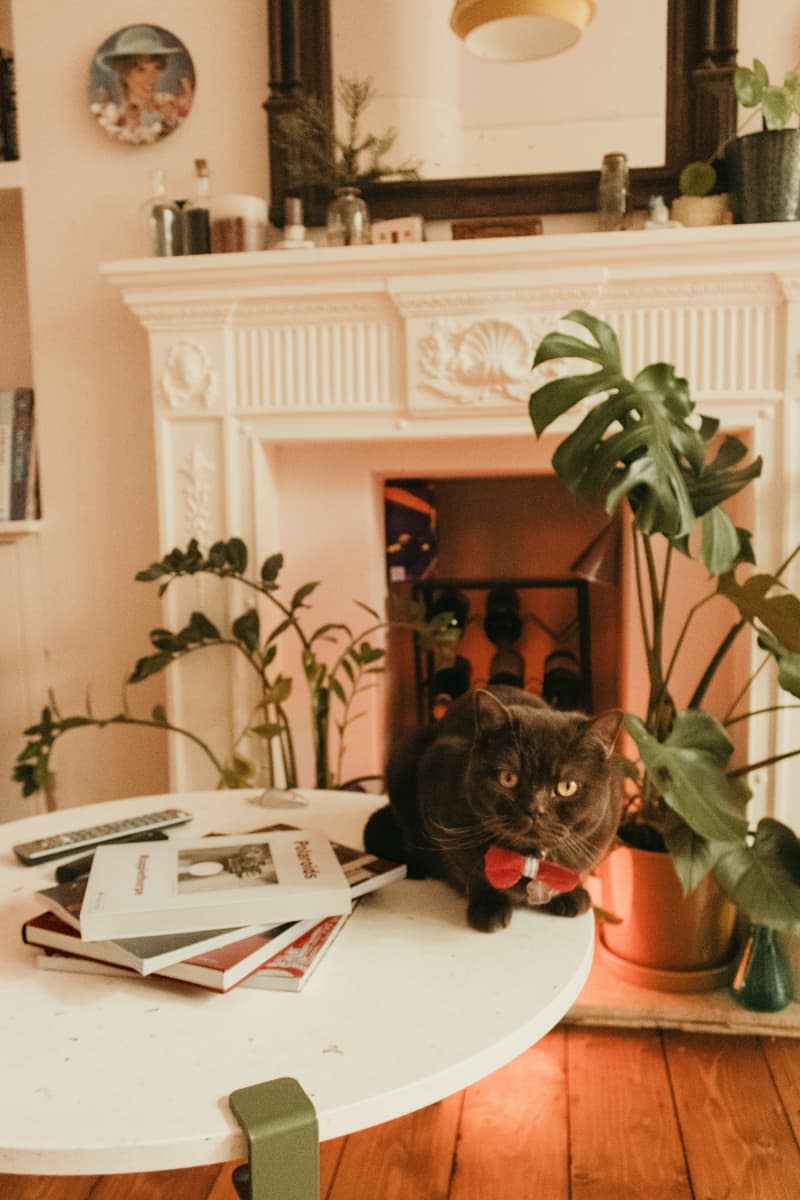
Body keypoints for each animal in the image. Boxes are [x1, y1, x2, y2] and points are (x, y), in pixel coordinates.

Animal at [364, 686, 623, 926]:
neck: (528, 859)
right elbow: (474, 874)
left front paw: (570, 894)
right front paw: (488, 907)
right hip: (404, 754)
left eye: (567, 787)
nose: (534, 809)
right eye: (508, 778)